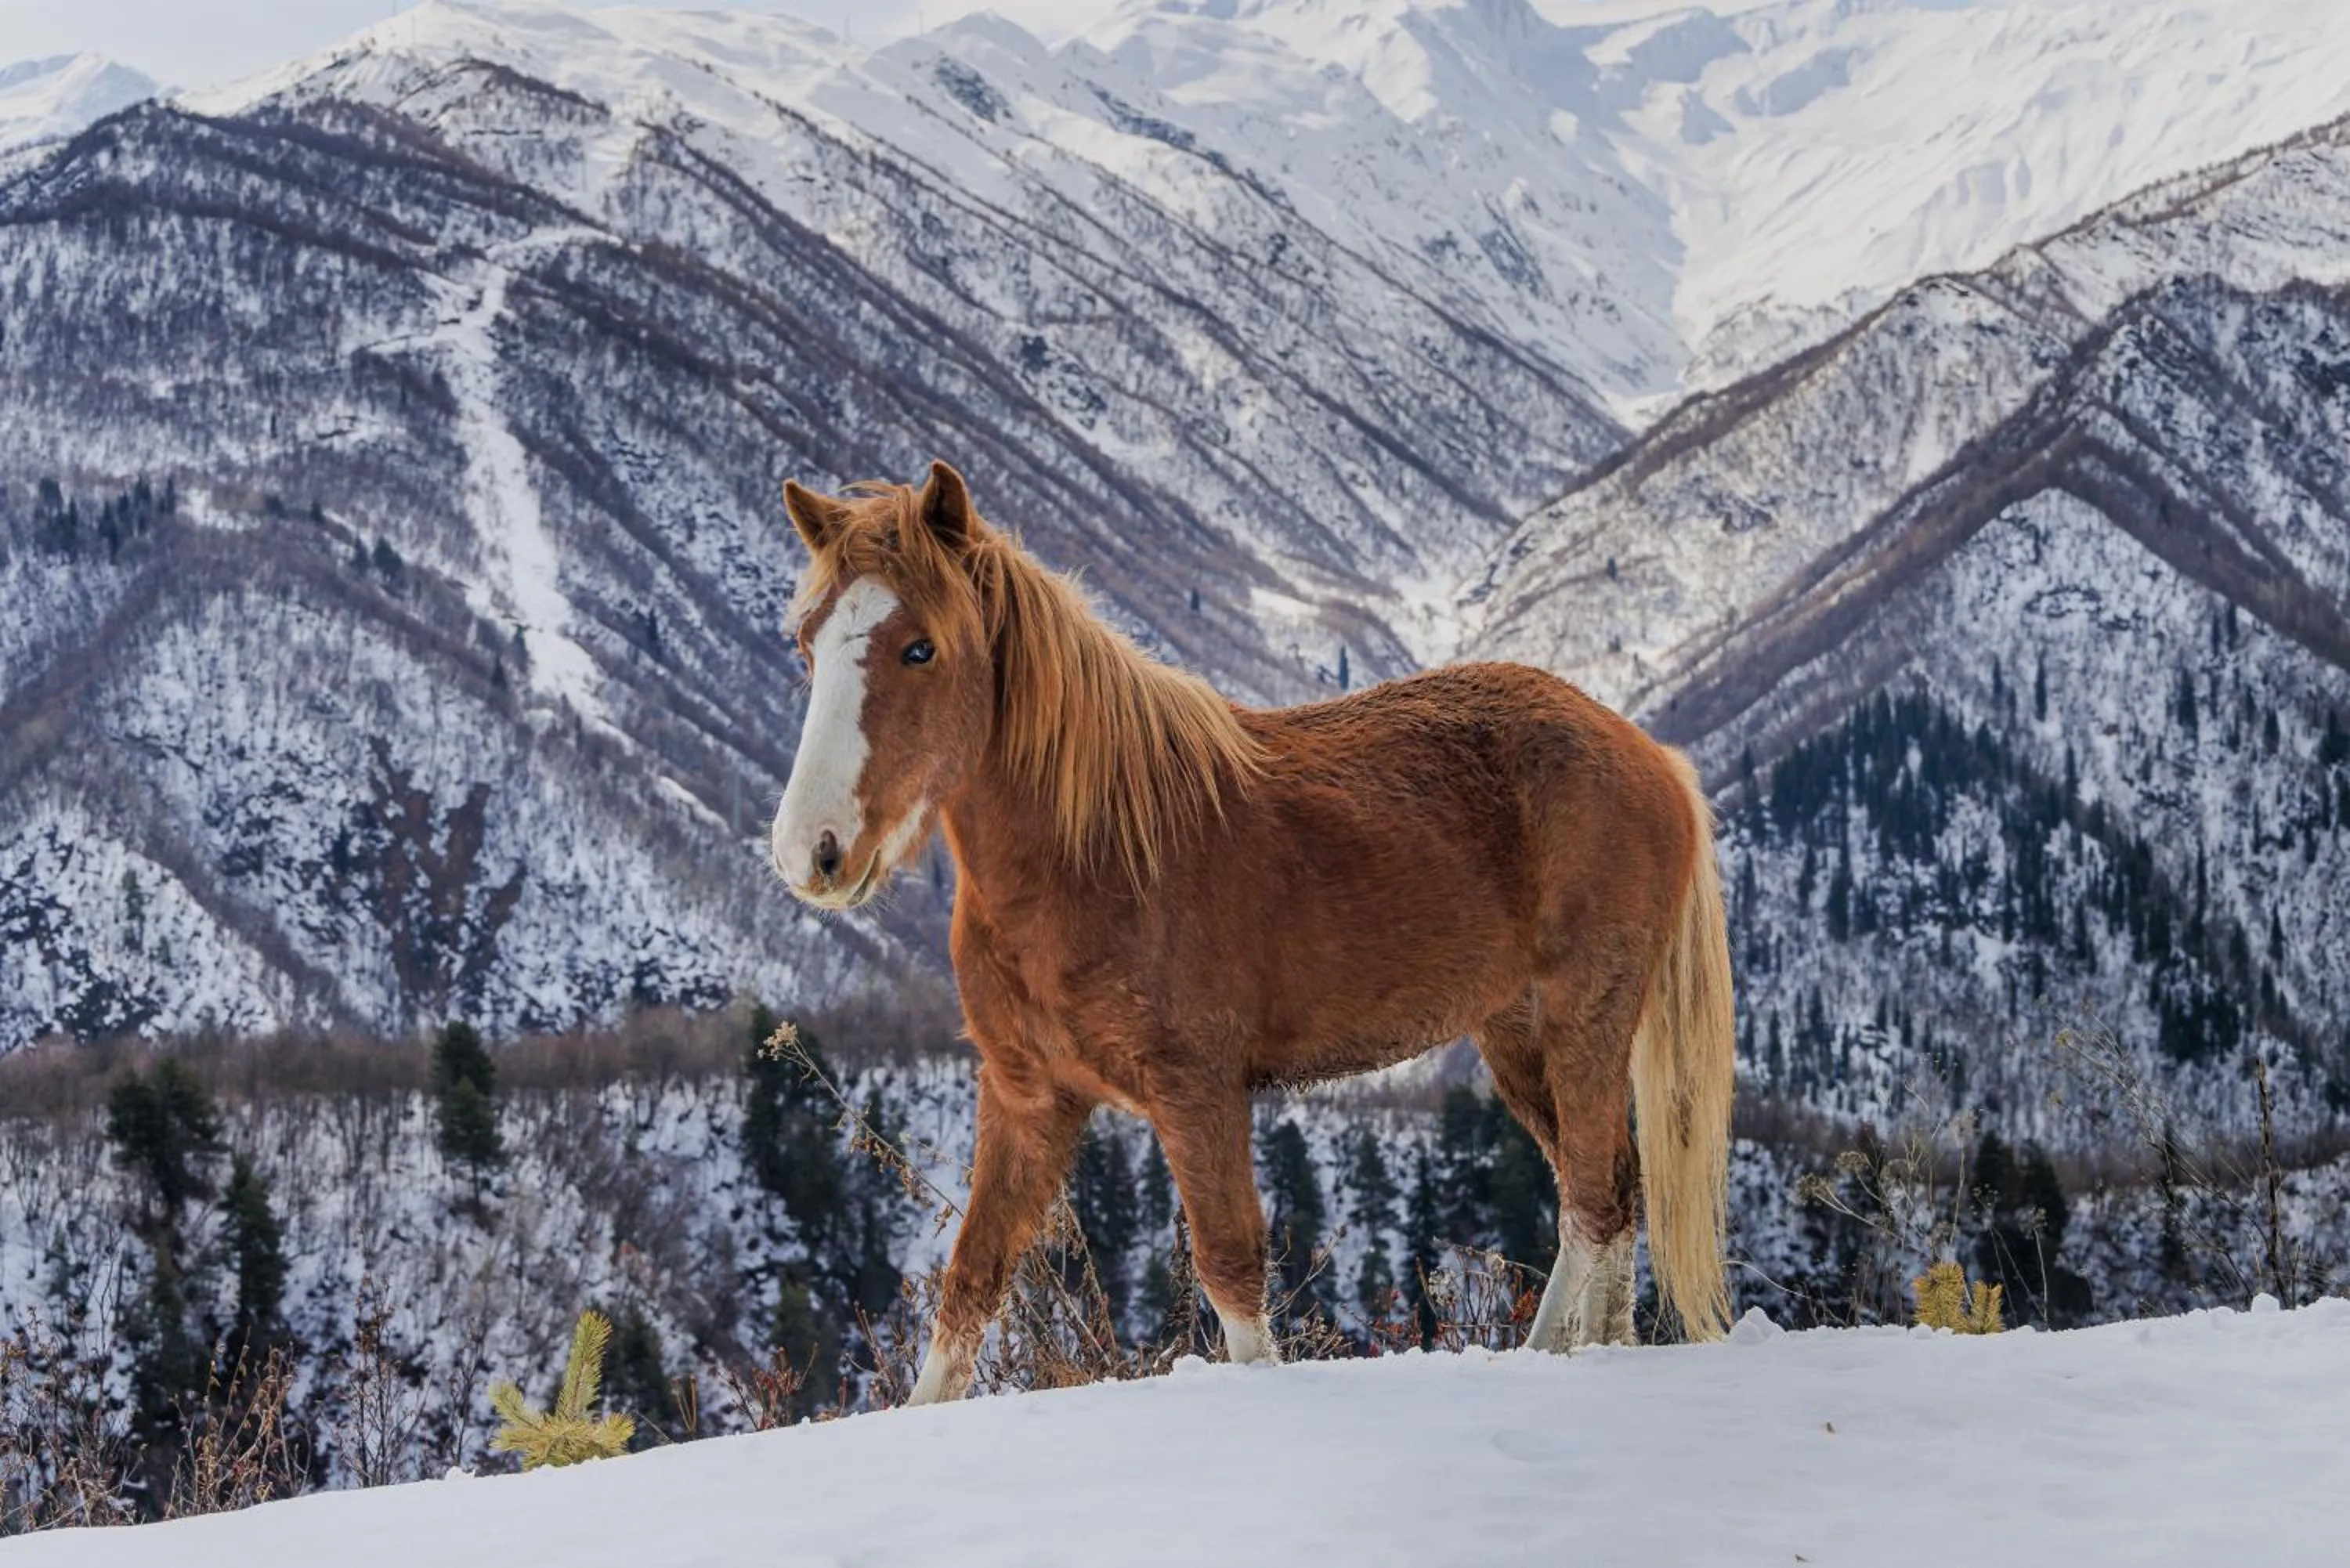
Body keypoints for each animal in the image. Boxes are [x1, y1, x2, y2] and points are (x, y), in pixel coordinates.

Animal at [769, 461, 1736, 1404]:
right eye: (807, 646)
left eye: (920, 647)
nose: (810, 851)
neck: (1096, 853)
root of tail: (1651, 755)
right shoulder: (1026, 1098)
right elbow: (970, 1287)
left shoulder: (1198, 1092)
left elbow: (1232, 1275)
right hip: (1519, 1038)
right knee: (1611, 1192)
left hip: (1585, 1024)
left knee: (1593, 1201)